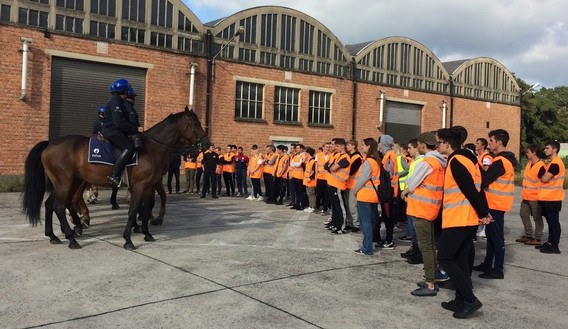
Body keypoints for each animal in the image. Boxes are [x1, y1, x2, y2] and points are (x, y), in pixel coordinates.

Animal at [22, 107, 209, 249]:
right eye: (196, 124)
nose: (207, 144)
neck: (152, 148)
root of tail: (50, 143)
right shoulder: (141, 185)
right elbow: (134, 209)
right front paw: (128, 239)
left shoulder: (148, 185)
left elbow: (146, 207)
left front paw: (146, 232)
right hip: (65, 182)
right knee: (60, 206)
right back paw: (72, 237)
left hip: (67, 182)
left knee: (50, 204)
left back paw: (54, 235)